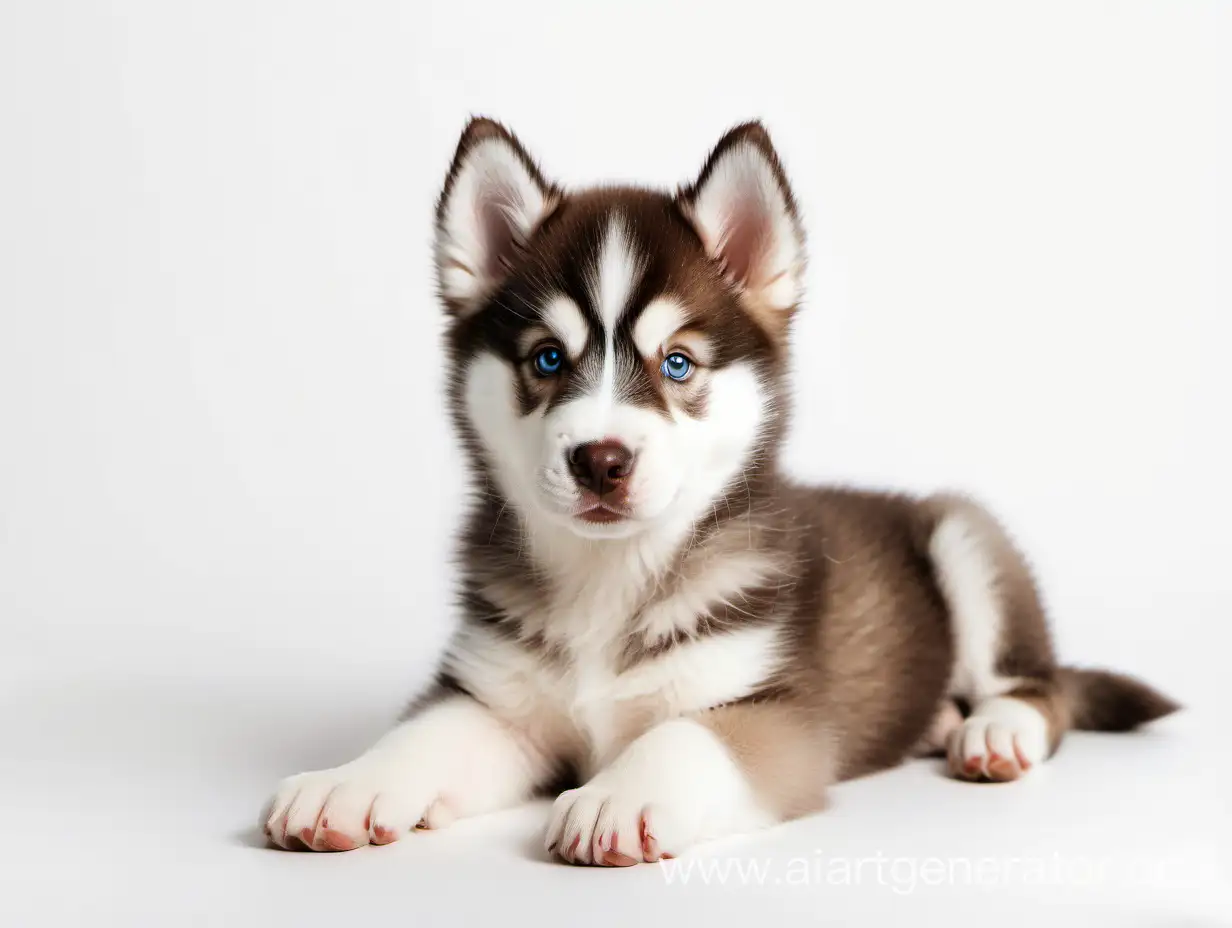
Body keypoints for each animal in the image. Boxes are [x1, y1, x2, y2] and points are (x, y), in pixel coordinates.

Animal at [259, 119, 1172, 867]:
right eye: (547, 359)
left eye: (677, 364)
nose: (600, 459)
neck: (610, 583)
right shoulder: (497, 701)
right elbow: (422, 735)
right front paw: (348, 781)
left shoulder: (771, 711)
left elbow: (686, 738)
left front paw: (617, 796)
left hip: (965, 536)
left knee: (1040, 685)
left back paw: (991, 730)